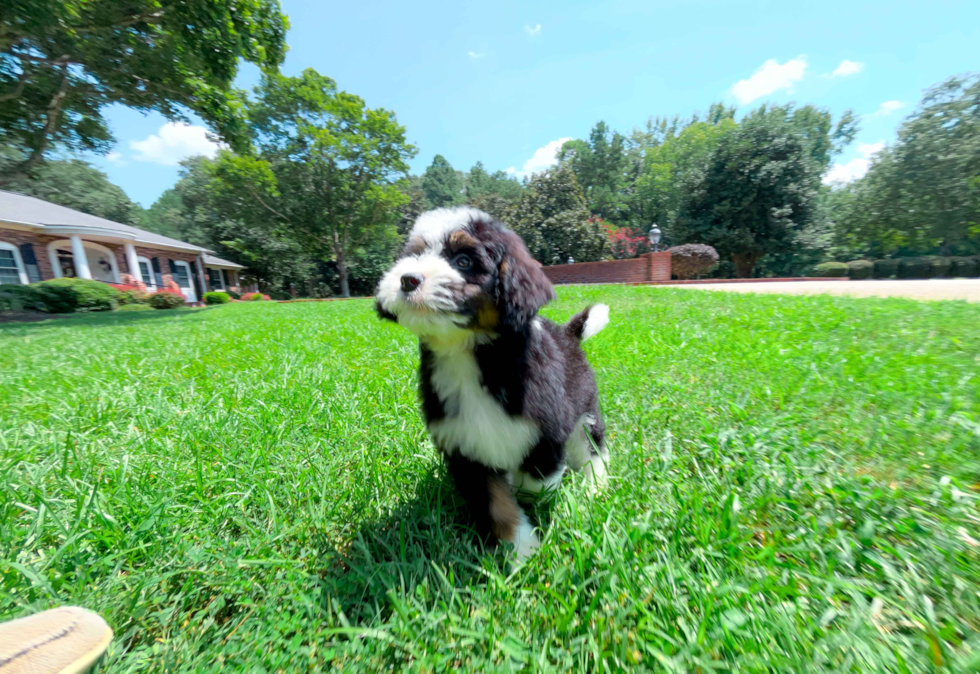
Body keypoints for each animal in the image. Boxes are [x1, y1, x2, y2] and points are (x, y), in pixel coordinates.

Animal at [374, 206, 608, 556]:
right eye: (414, 254)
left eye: (463, 261)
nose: (407, 279)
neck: (466, 352)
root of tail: (569, 334)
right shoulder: (463, 446)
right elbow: (495, 503)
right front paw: (522, 551)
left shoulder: (548, 424)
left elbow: (538, 477)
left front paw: (533, 495)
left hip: (585, 406)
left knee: (593, 444)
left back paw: (597, 484)